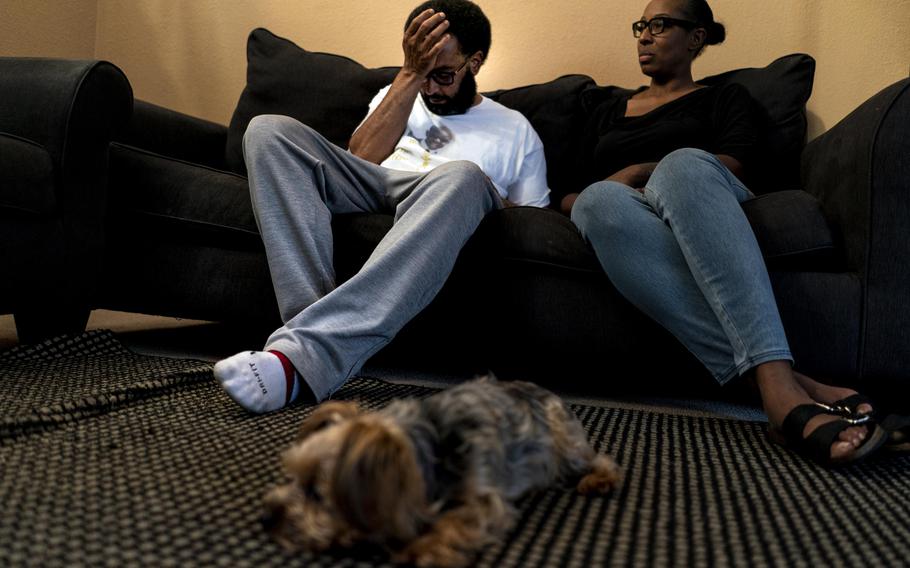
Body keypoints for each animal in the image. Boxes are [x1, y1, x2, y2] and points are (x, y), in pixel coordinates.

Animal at [260, 374, 624, 564]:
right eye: (291, 477)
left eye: (316, 494)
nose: (265, 519)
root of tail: (545, 390)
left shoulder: (484, 498)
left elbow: (454, 521)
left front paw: (420, 550)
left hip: (564, 442)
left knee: (596, 459)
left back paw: (598, 479)